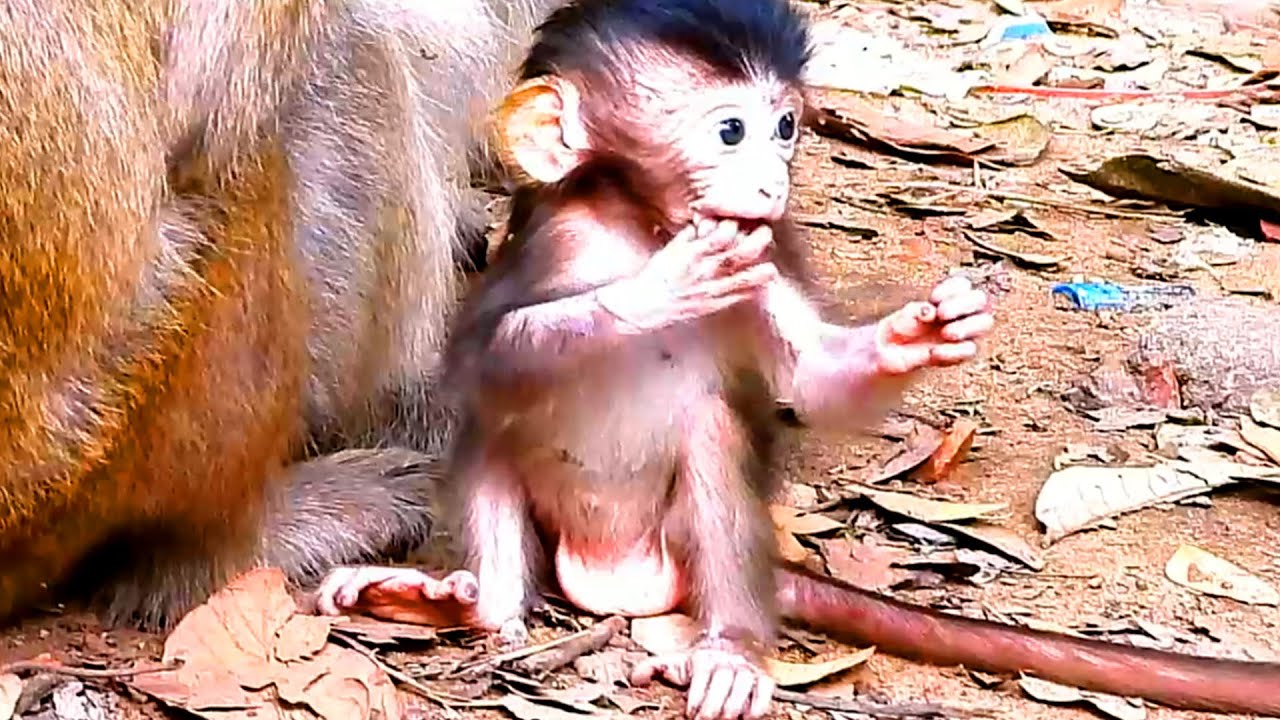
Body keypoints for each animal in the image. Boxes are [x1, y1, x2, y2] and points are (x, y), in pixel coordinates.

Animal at [313, 1, 1280, 719]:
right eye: (731, 131)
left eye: (785, 127)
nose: (775, 178)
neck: (638, 225)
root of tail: (609, 587)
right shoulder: (546, 242)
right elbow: (484, 363)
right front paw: (660, 289)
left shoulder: (767, 250)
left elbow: (811, 370)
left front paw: (914, 335)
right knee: (492, 443)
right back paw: (461, 602)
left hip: (684, 557)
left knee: (712, 441)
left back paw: (731, 653)